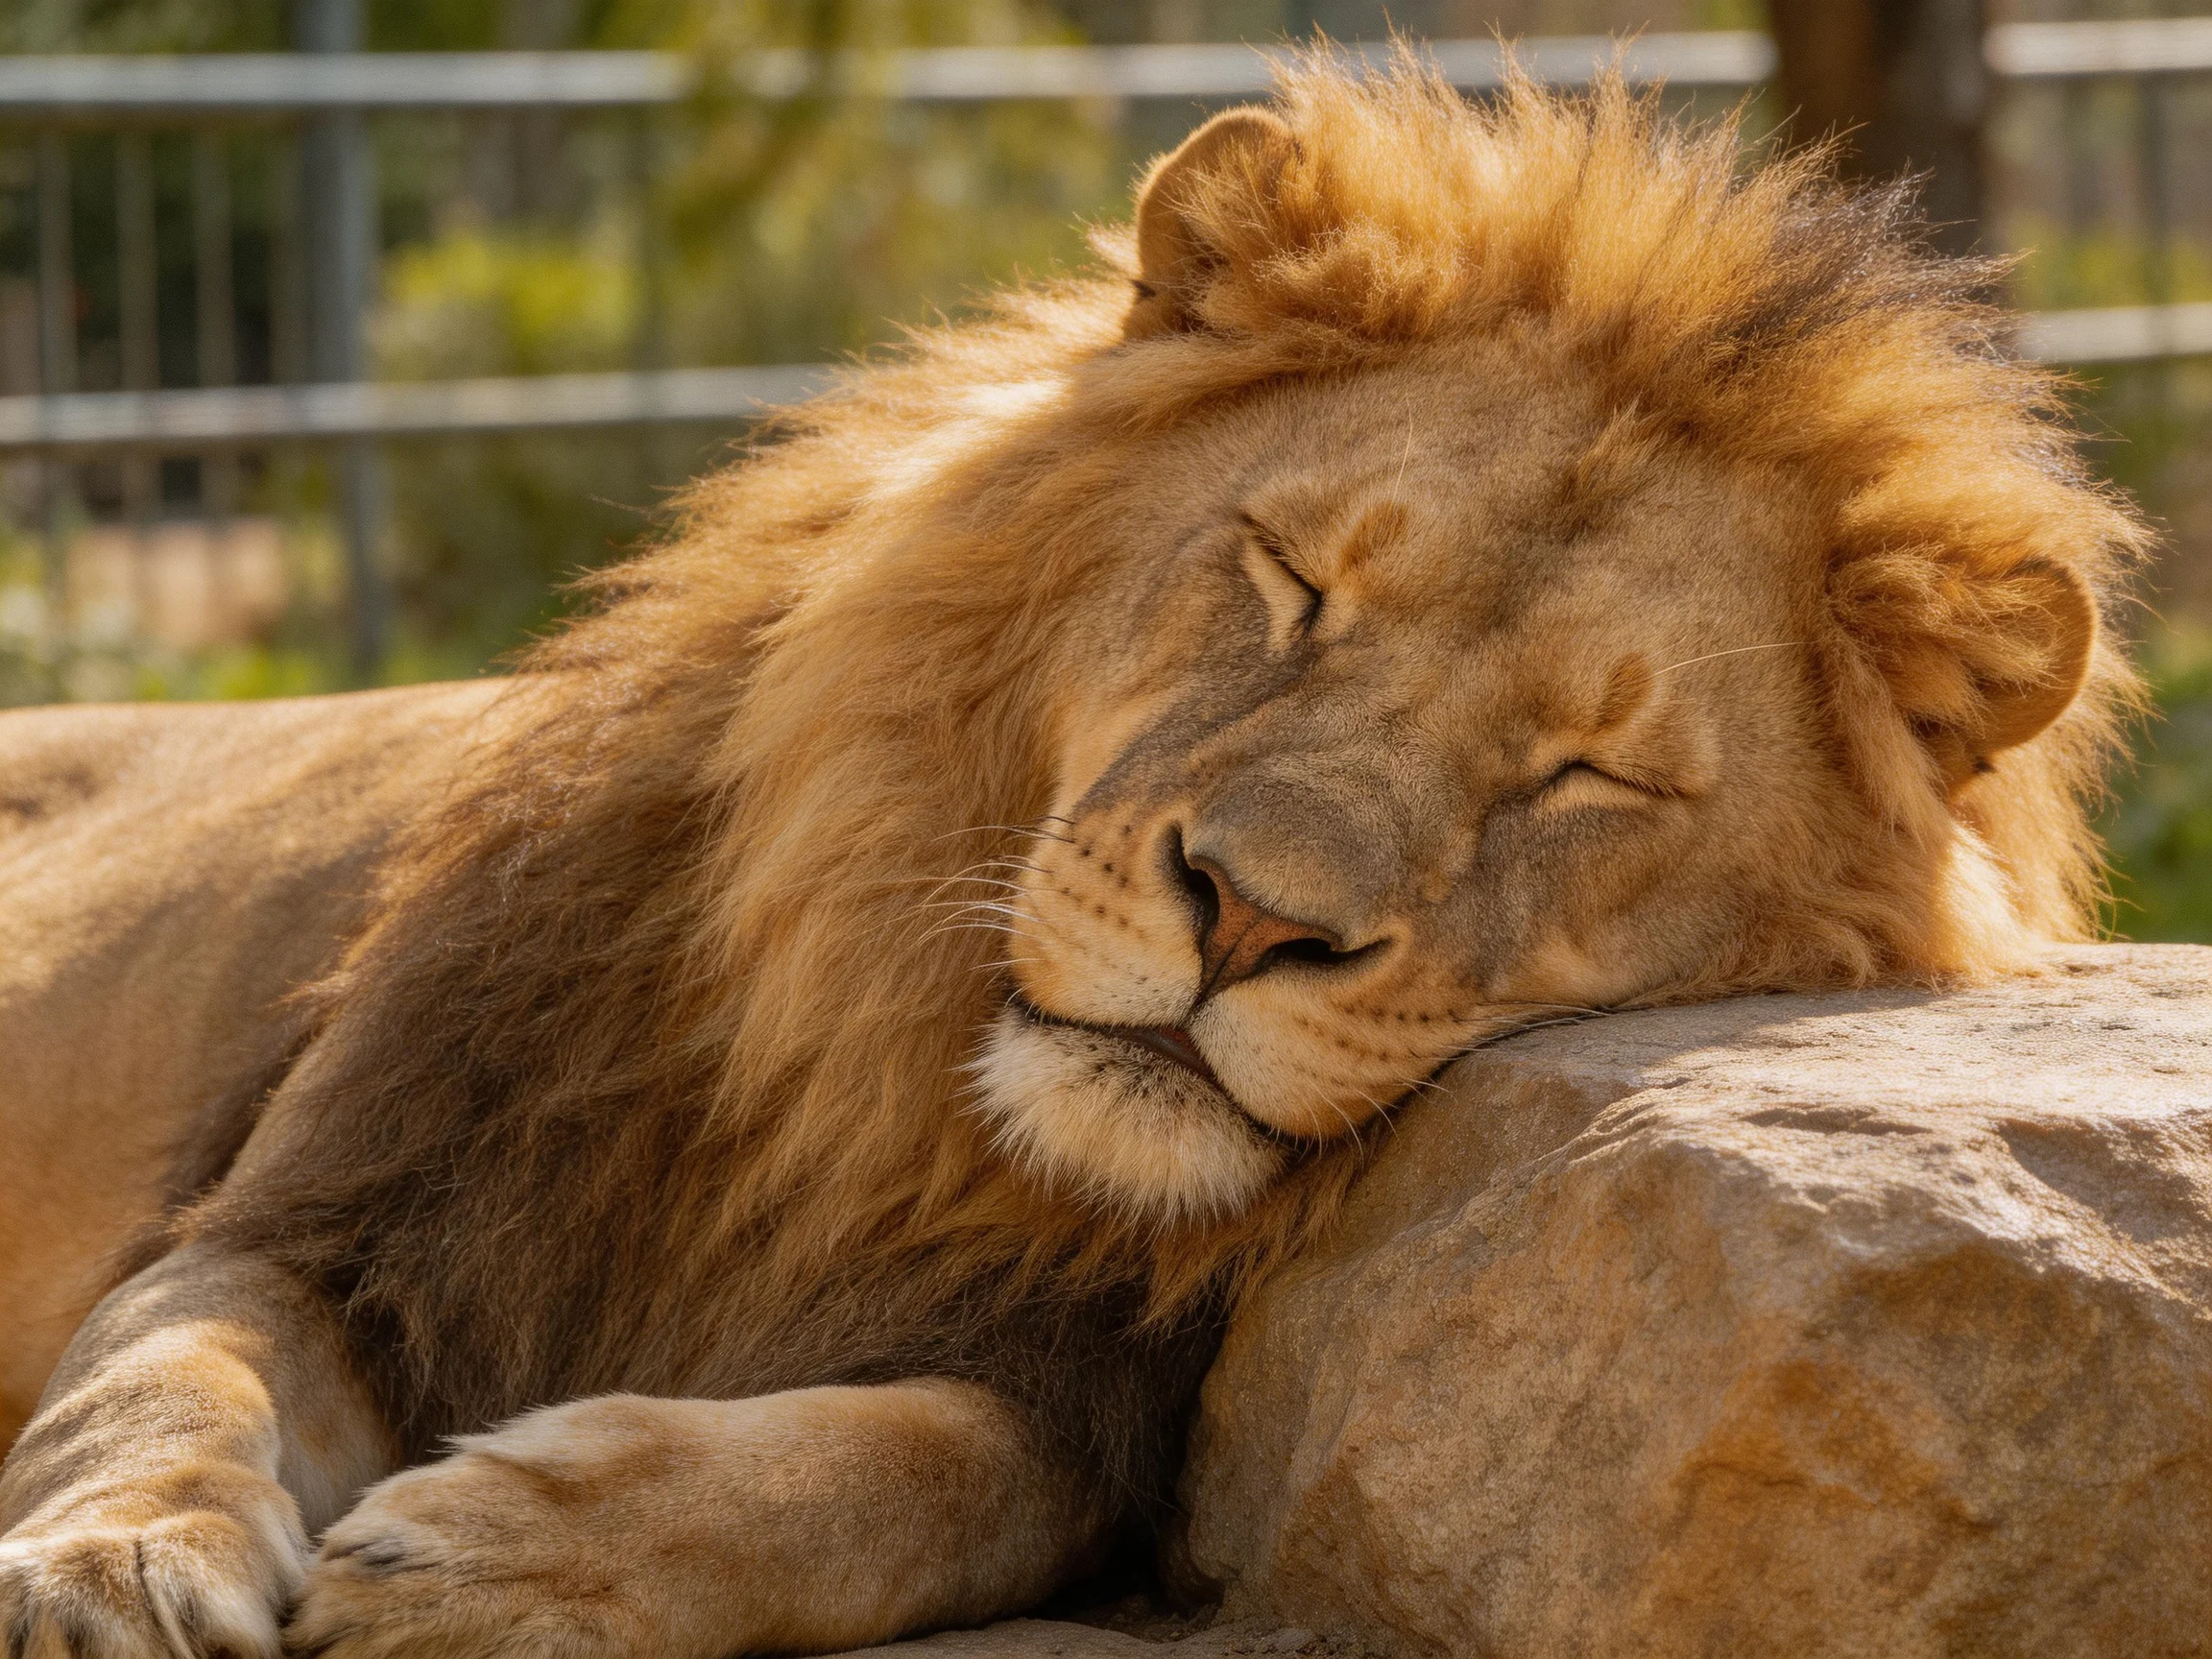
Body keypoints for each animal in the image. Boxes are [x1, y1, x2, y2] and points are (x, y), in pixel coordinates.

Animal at [0, 59, 2144, 1659]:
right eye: (1291, 581)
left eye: (1584, 775)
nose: (1253, 915)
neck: (887, 1093)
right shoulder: (324, 1201)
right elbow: (170, 1371)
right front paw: (109, 1564)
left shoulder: (1100, 1415)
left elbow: (917, 1476)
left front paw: (518, 1556)